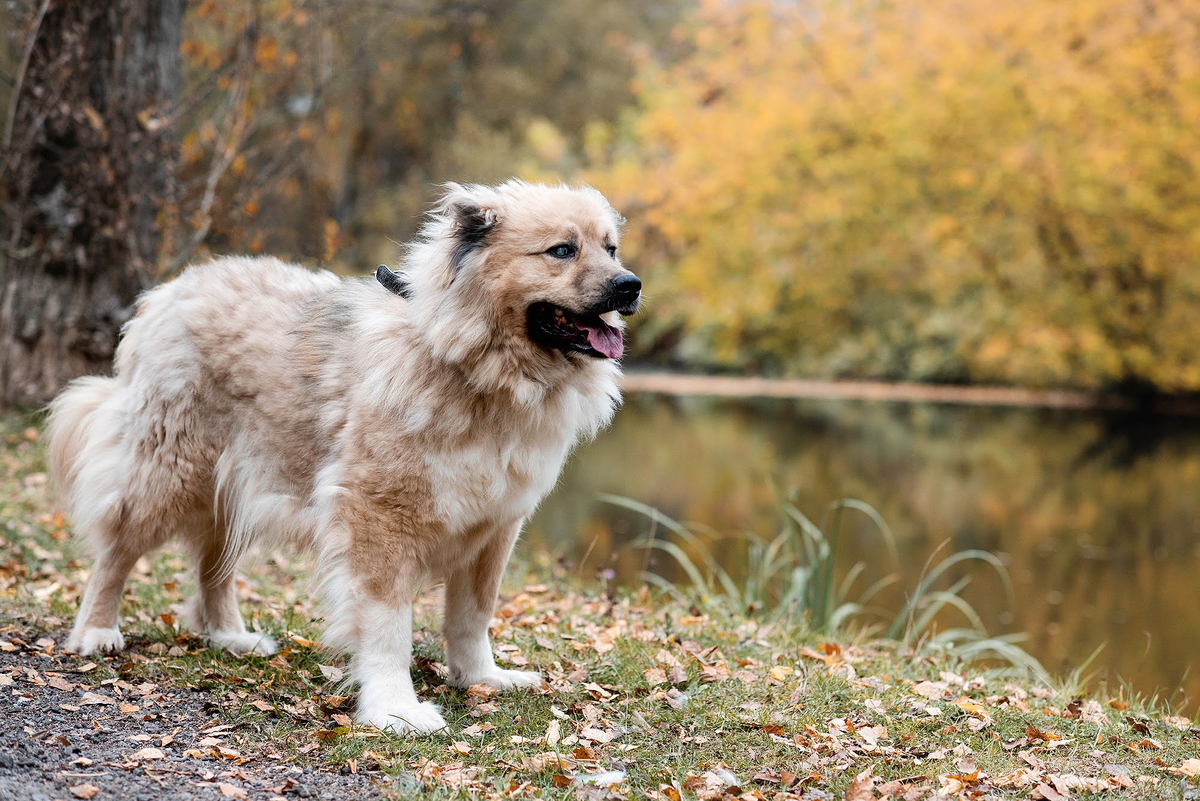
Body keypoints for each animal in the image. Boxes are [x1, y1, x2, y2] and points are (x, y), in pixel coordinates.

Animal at [45, 179, 638, 733]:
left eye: (610, 249)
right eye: (562, 250)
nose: (629, 285)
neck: (471, 364)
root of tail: (169, 291)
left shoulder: (494, 527)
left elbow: (472, 617)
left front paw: (480, 678)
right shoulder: (379, 521)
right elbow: (389, 627)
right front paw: (396, 709)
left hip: (240, 485)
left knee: (214, 566)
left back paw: (230, 637)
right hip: (167, 475)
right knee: (116, 554)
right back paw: (97, 631)